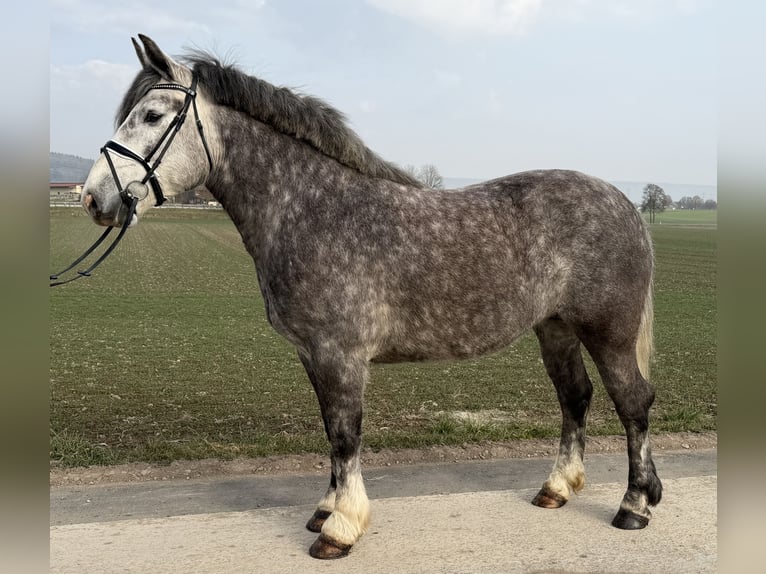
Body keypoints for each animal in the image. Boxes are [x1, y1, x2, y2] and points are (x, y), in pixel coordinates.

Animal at [80, 34, 662, 559]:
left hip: (608, 332)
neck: (314, 209)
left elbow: (346, 435)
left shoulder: (340, 356)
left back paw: (634, 506)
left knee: (633, 402)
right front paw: (326, 510)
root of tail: (624, 204)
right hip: (556, 329)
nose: (93, 198)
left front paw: (340, 529)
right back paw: (558, 488)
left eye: (153, 115)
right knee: (576, 398)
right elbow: (331, 431)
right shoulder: (313, 355)